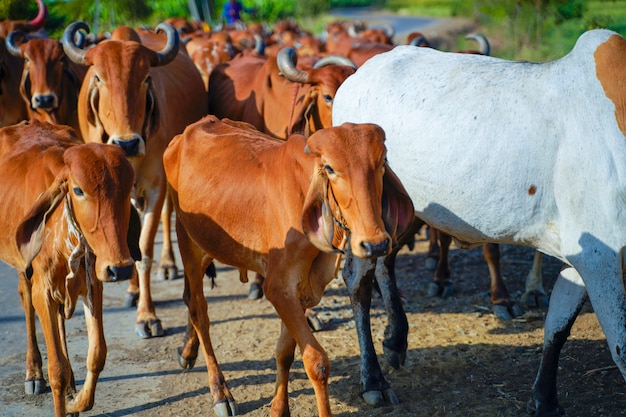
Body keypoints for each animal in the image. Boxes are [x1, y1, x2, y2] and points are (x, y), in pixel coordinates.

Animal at [0, 118, 137, 416]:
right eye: (78, 190)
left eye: (128, 188)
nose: (120, 269)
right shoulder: (42, 291)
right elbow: (57, 371)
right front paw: (59, 391)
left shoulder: (93, 283)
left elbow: (97, 354)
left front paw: (77, 401)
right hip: (23, 268)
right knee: (24, 299)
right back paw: (33, 372)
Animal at [62, 21, 207, 336]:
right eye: (99, 78)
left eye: (146, 78)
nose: (126, 143)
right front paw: (134, 293)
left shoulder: (155, 188)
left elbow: (145, 252)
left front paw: (147, 317)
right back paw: (131, 290)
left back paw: (167, 266)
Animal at [163, 114, 412, 416]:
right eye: (330, 168)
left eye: (382, 160)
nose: (374, 244)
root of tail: (194, 127)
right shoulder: (278, 287)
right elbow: (316, 362)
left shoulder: (301, 290)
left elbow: (285, 353)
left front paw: (279, 408)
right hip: (188, 242)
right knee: (198, 310)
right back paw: (220, 393)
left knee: (189, 299)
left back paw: (187, 352)